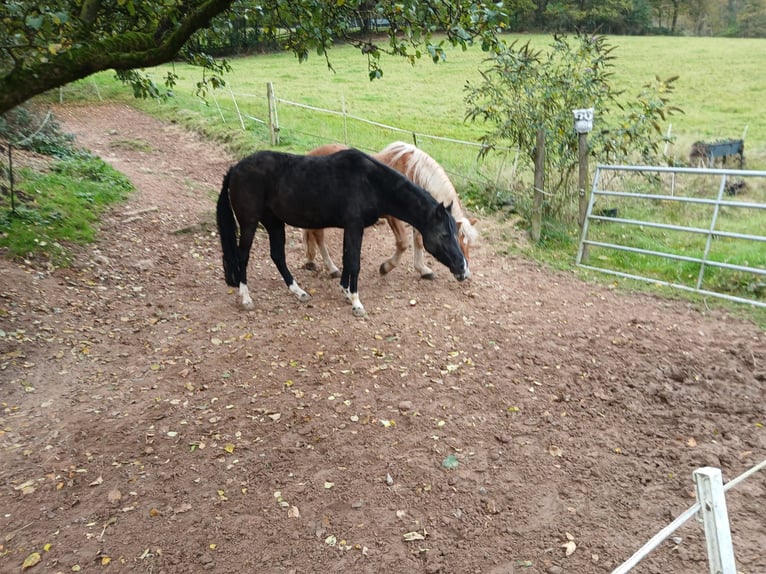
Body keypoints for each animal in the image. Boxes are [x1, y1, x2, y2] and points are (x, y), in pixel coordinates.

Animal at [214, 148, 468, 318]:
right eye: (444, 235)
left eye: (456, 235)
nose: (463, 269)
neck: (371, 183)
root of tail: (235, 169)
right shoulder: (354, 226)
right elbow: (354, 261)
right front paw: (356, 302)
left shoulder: (351, 228)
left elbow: (348, 259)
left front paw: (346, 291)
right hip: (249, 223)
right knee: (242, 257)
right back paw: (246, 298)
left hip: (274, 223)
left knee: (278, 256)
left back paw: (299, 292)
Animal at [306, 142, 480, 282]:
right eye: (454, 239)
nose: (465, 272)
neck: (412, 173)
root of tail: (310, 154)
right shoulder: (394, 217)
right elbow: (403, 242)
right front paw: (386, 267)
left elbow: (418, 241)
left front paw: (423, 270)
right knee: (318, 236)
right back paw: (331, 268)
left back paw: (310, 260)